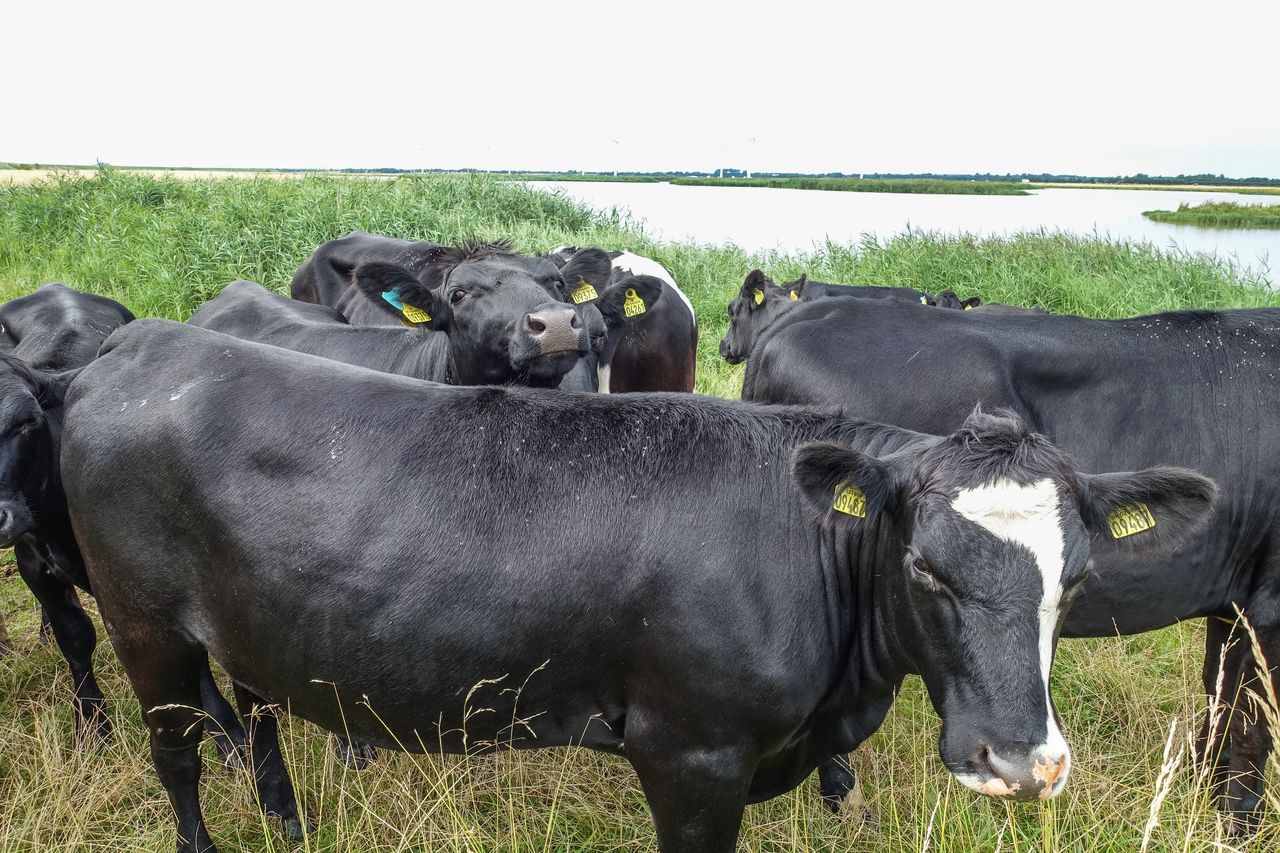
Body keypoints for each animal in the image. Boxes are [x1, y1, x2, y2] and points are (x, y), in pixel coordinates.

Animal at [62, 317, 1218, 850]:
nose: (1025, 762)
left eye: (1074, 582)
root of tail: (142, 338)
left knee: (255, 716)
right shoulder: (689, 750)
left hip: (243, 626)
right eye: (923, 565)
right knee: (177, 755)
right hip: (142, 624)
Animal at [742, 297, 1280, 824]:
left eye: (1081, 574)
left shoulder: (1234, 605)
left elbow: (1222, 697)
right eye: (925, 566)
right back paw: (846, 802)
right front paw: (1241, 821)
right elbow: (1254, 723)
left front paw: (1204, 788)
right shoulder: (1270, 606)